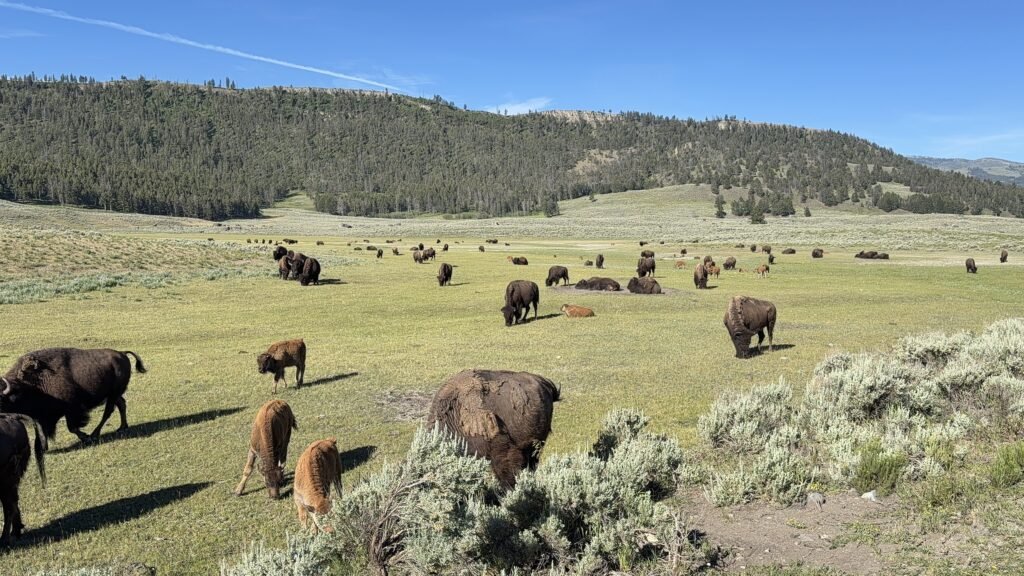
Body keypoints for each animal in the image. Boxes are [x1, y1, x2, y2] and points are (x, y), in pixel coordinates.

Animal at [0, 414, 46, 545]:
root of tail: (12, 417)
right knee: (13, 503)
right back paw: (16, 532)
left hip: (6, 483)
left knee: (9, 506)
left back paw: (5, 539)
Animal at [1, 348, 146, 443]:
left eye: (3, 401)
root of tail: (122, 353)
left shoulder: (72, 409)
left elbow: (72, 427)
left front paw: (85, 437)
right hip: (113, 395)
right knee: (121, 404)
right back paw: (122, 427)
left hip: (113, 394)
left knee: (108, 411)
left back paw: (95, 434)